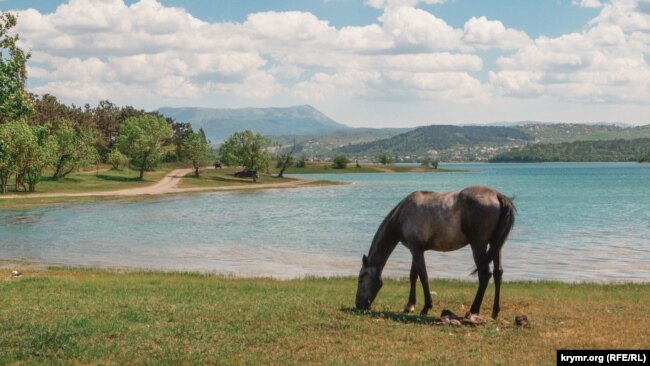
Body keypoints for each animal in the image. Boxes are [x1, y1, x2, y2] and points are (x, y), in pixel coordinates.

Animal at [352, 184, 512, 318]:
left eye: (360, 279)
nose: (358, 305)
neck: (402, 215)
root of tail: (497, 195)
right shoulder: (415, 249)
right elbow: (413, 276)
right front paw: (410, 305)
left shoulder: (417, 250)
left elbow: (423, 276)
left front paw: (426, 307)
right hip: (495, 245)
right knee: (498, 273)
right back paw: (495, 312)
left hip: (478, 245)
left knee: (484, 274)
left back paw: (473, 310)